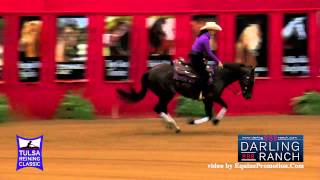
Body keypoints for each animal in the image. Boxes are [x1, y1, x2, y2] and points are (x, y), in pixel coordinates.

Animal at [117, 61, 255, 132]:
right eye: (249, 79)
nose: (248, 96)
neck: (218, 76)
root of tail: (150, 71)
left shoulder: (208, 99)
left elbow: (218, 110)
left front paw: (215, 120)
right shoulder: (211, 97)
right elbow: (213, 113)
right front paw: (192, 121)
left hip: (164, 95)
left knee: (162, 108)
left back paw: (172, 125)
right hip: (167, 94)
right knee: (158, 108)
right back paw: (173, 125)